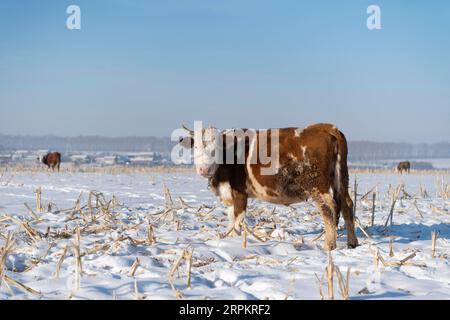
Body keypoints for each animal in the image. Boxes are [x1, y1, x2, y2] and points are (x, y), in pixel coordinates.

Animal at [179, 122, 358, 250]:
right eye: (196, 147)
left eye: (216, 148)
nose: (204, 169)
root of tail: (325, 126)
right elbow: (231, 218)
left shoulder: (239, 193)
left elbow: (237, 219)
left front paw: (233, 241)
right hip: (341, 179)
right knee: (347, 205)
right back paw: (352, 243)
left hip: (317, 185)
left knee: (329, 208)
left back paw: (329, 245)